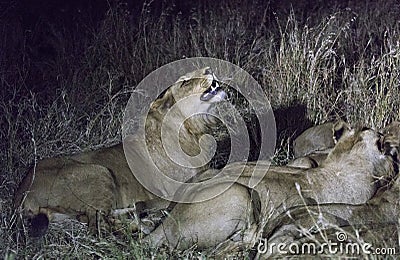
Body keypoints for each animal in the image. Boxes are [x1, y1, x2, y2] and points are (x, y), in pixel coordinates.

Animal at [14, 67, 228, 238]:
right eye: (184, 82)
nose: (209, 69)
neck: (193, 129)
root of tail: (20, 193)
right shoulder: (177, 186)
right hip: (98, 171)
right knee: (98, 227)